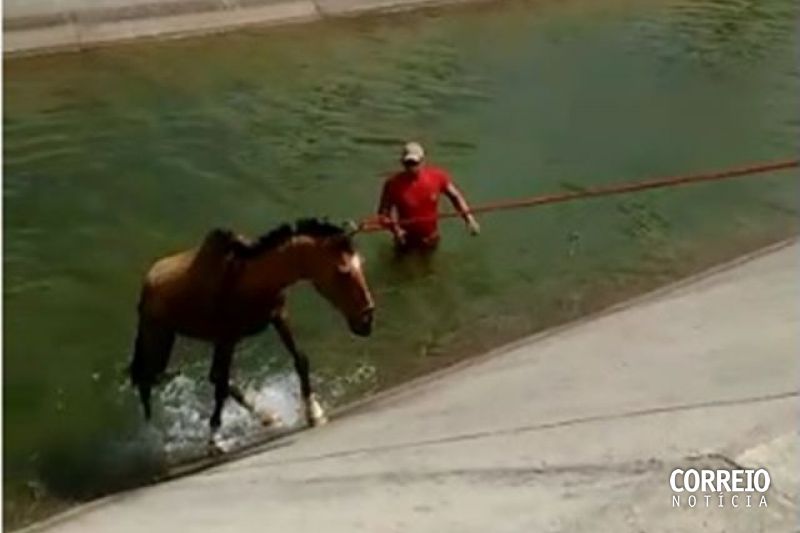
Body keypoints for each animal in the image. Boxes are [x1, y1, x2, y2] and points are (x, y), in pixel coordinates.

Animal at [129, 218, 374, 449]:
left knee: (212, 377)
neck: (252, 278)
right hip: (159, 338)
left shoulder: (278, 317)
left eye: (361, 263)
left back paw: (268, 417)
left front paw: (313, 412)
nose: (366, 321)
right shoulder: (227, 337)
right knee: (148, 380)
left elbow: (300, 360)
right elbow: (220, 386)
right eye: (343, 271)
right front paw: (215, 439)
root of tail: (147, 283)